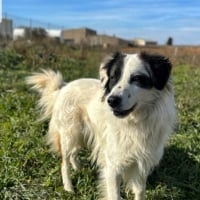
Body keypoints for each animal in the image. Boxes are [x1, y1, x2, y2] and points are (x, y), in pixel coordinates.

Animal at [26, 52, 177, 200]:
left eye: (137, 79)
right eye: (113, 78)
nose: (111, 100)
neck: (135, 122)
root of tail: (63, 88)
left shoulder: (142, 163)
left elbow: (140, 192)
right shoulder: (113, 165)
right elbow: (114, 195)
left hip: (81, 134)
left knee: (73, 154)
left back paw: (78, 168)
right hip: (70, 134)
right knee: (64, 162)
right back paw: (68, 188)